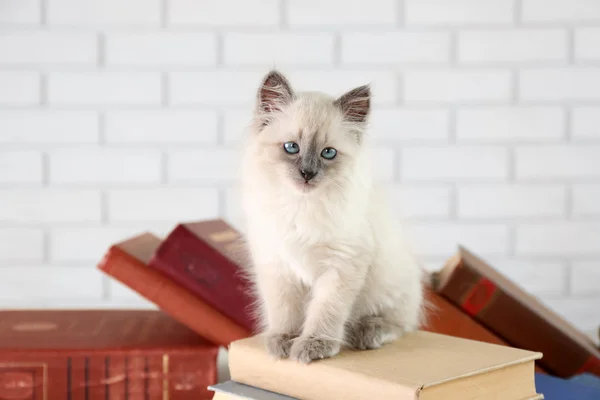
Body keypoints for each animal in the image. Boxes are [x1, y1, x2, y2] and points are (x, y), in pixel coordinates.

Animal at [240, 70, 426, 364]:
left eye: (328, 153)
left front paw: (313, 346)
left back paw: (367, 333)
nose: (307, 173)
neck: (301, 207)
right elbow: (284, 311)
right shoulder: (277, 265)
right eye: (291, 147)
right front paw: (283, 342)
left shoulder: (341, 265)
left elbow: (325, 311)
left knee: (401, 324)